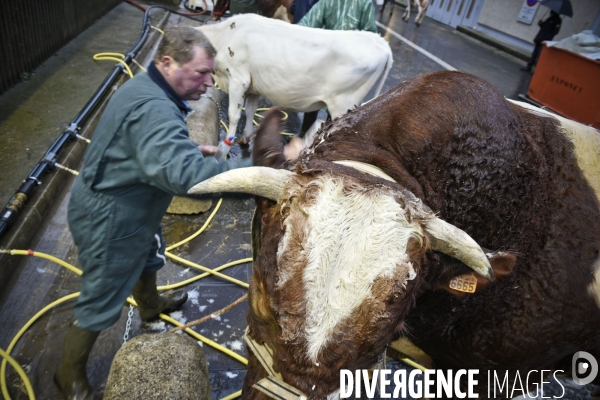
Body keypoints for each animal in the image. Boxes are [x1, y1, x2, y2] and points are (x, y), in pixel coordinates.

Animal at [197, 13, 394, 145]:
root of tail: (380, 42)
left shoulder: (239, 79)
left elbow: (234, 115)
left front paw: (226, 146)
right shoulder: (253, 86)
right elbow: (250, 110)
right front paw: (246, 138)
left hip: (343, 104)